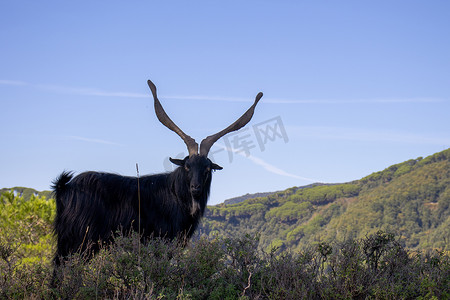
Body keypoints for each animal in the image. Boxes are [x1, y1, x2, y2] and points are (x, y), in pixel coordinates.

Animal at [51, 80, 264, 264]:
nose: (195, 188)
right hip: (79, 238)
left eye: (207, 168)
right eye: (187, 165)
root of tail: (64, 187)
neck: (175, 195)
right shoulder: (159, 241)